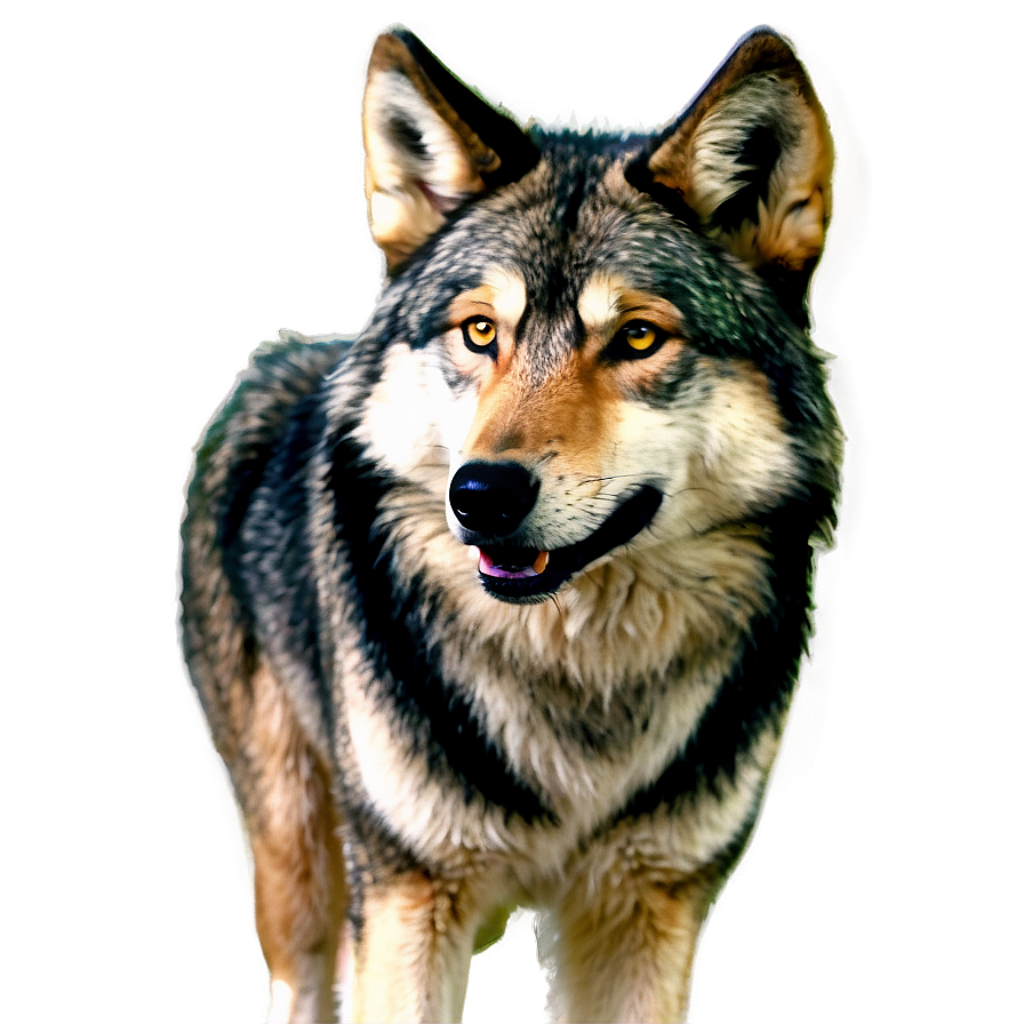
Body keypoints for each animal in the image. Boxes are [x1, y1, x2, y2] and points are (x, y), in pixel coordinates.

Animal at [177, 20, 845, 1023]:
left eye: (637, 338)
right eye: (481, 332)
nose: (481, 493)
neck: (576, 694)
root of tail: (287, 356)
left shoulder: (652, 910)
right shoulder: (409, 897)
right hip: (302, 857)